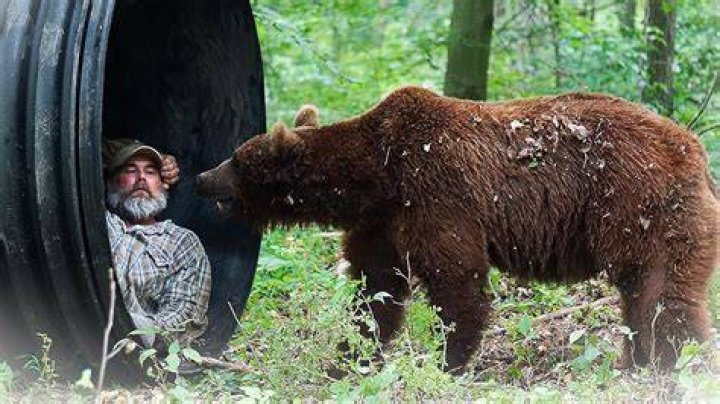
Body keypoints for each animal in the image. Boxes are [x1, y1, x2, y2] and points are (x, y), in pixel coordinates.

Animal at [196, 86, 719, 373]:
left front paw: (447, 360)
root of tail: (694, 148)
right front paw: (347, 358)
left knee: (664, 289)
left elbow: (457, 282)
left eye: (236, 160)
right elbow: (375, 291)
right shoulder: (380, 224)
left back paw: (676, 362)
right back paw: (638, 360)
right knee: (640, 294)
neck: (376, 176)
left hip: (637, 202)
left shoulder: (436, 193)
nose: (202, 176)